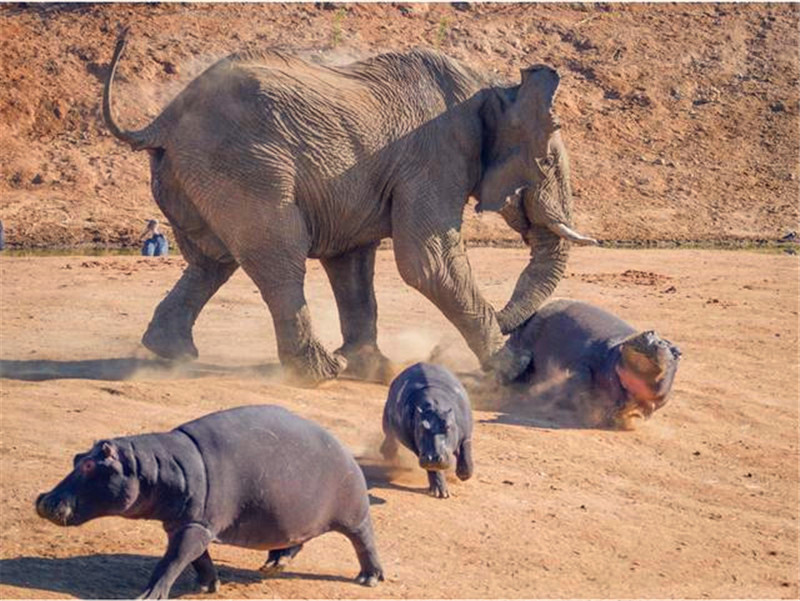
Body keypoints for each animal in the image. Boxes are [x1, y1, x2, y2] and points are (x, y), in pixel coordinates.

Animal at [36, 404, 386, 596]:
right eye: (76, 457)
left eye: (90, 465)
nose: (43, 500)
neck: (153, 467)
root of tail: (343, 446)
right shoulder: (185, 524)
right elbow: (195, 558)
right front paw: (207, 586)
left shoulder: (195, 525)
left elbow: (172, 561)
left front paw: (148, 596)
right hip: (296, 517)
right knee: (295, 540)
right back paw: (273, 564)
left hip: (354, 514)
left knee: (364, 541)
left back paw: (369, 579)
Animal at [103, 28, 596, 382]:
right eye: (548, 160)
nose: (437, 350)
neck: (492, 87)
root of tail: (163, 120)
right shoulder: (435, 157)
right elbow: (427, 262)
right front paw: (514, 369)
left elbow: (353, 264)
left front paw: (375, 370)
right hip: (244, 167)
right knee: (279, 257)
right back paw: (320, 372)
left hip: (193, 176)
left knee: (212, 262)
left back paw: (171, 354)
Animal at [382, 360, 476, 496]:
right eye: (421, 427)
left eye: (447, 426)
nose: (433, 458)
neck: (435, 407)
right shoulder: (419, 448)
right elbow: (434, 471)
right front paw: (441, 493)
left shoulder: (466, 433)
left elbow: (465, 450)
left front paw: (464, 474)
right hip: (387, 419)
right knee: (389, 437)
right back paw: (389, 454)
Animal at [510, 298, 680, 428]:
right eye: (652, 334)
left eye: (677, 352)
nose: (651, 334)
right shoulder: (585, 362)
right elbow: (582, 378)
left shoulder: (658, 400)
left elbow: (643, 409)